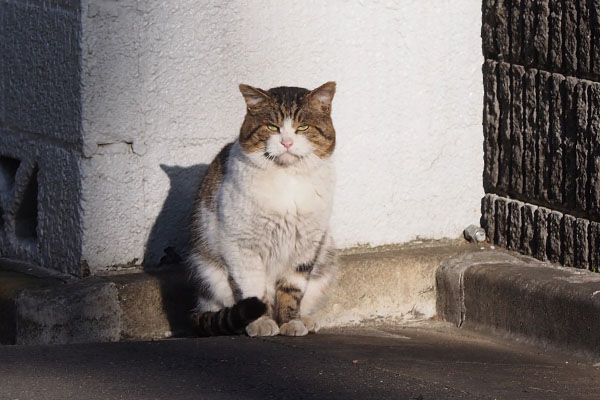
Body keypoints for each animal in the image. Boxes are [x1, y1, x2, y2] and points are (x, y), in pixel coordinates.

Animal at [188, 82, 338, 338]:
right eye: (272, 127)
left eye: (303, 127)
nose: (286, 142)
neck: (288, 181)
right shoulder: (241, 245)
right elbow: (253, 289)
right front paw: (260, 322)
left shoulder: (306, 245)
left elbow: (292, 289)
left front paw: (291, 323)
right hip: (208, 272)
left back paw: (306, 319)